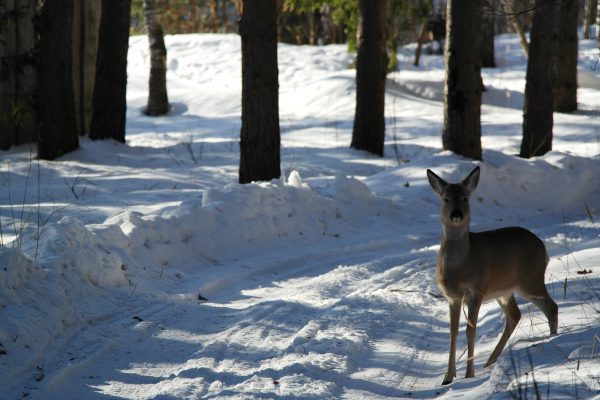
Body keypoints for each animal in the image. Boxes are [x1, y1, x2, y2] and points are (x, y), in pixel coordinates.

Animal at [426, 165, 556, 384]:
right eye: (446, 198)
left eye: (465, 198)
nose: (456, 214)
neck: (461, 263)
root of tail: (543, 247)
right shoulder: (452, 297)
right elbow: (453, 332)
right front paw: (448, 377)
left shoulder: (476, 289)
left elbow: (470, 330)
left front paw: (468, 374)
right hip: (505, 291)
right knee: (515, 315)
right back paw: (490, 361)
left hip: (531, 280)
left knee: (551, 307)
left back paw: (554, 339)